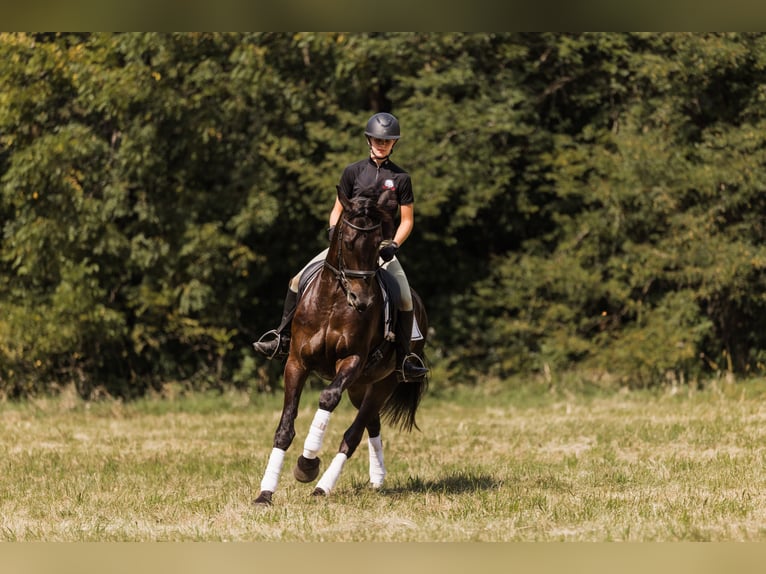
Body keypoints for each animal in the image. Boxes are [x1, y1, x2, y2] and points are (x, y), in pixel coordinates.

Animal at [254, 188, 429, 505]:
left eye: (379, 244)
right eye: (347, 241)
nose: (363, 301)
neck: (333, 301)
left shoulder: (352, 360)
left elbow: (328, 397)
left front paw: (307, 463)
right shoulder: (296, 362)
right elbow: (284, 429)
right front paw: (265, 492)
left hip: (383, 381)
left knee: (354, 433)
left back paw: (323, 486)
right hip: (361, 387)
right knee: (372, 423)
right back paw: (377, 478)